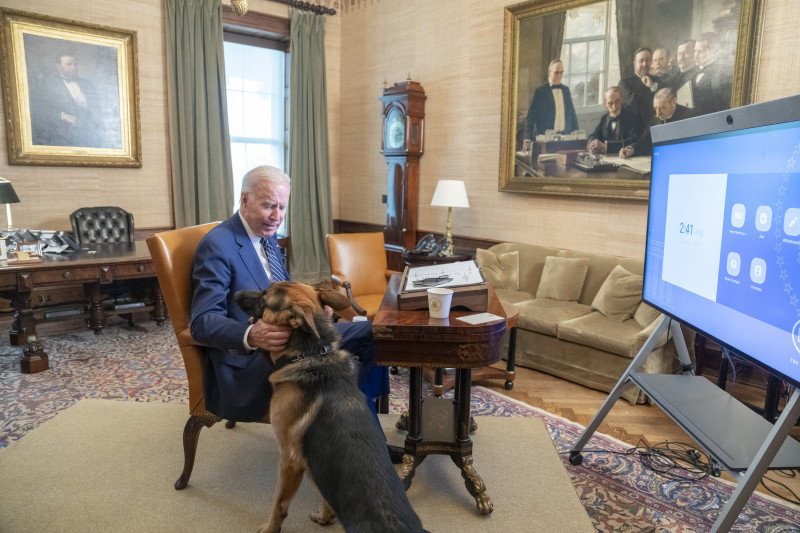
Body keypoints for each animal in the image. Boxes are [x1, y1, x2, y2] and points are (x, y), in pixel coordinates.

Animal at [236, 280, 428, 528]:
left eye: (263, 297)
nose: (235, 294)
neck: (312, 354)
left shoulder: (289, 459)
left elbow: (278, 506)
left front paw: (269, 528)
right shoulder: (312, 461)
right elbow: (323, 492)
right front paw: (325, 516)